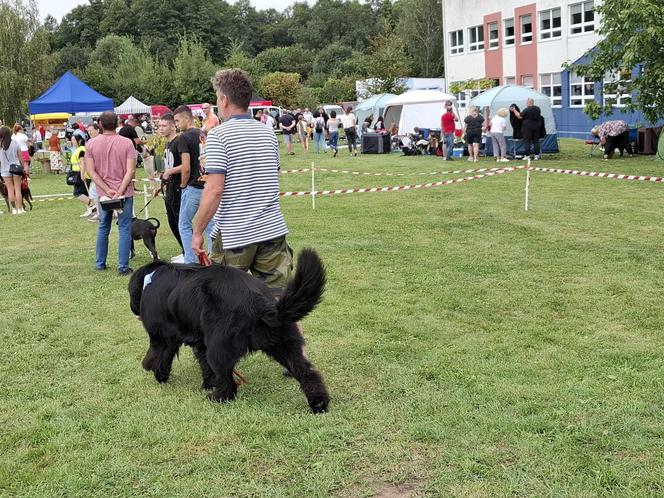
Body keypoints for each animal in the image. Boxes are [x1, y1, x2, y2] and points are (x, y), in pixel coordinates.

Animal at [127, 248, 330, 412]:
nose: (134, 309)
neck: (152, 278)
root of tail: (260, 303)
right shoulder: (200, 343)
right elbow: (203, 365)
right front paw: (207, 383)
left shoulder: (162, 336)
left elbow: (158, 356)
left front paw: (155, 371)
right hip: (285, 345)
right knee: (306, 372)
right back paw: (318, 403)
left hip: (219, 348)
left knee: (227, 381)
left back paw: (217, 397)